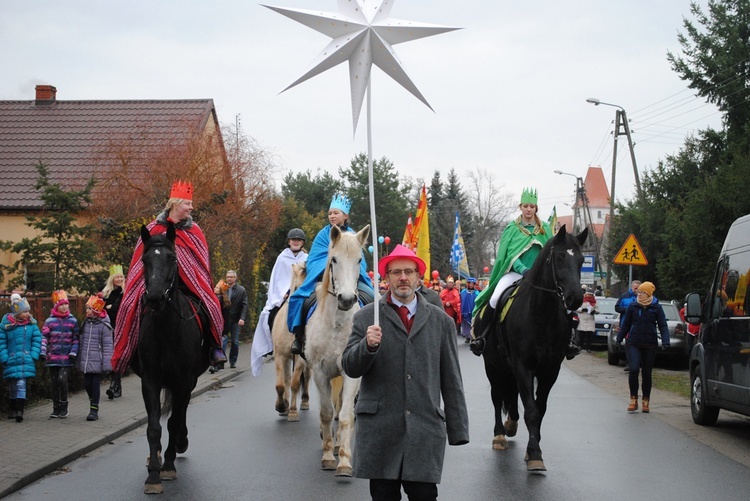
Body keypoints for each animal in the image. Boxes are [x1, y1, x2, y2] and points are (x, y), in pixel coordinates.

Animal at [131, 225, 210, 494]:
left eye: (172, 258)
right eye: (145, 260)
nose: (154, 298)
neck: (166, 328)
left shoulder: (184, 380)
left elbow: (174, 421)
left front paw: (167, 465)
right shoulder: (150, 381)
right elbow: (154, 427)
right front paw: (153, 475)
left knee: (180, 413)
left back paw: (179, 443)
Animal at [306, 224, 370, 476]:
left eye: (359, 259)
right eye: (333, 259)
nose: (346, 299)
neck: (337, 324)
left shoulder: (351, 374)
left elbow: (344, 415)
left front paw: (344, 460)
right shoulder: (320, 373)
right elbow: (325, 413)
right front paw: (327, 456)